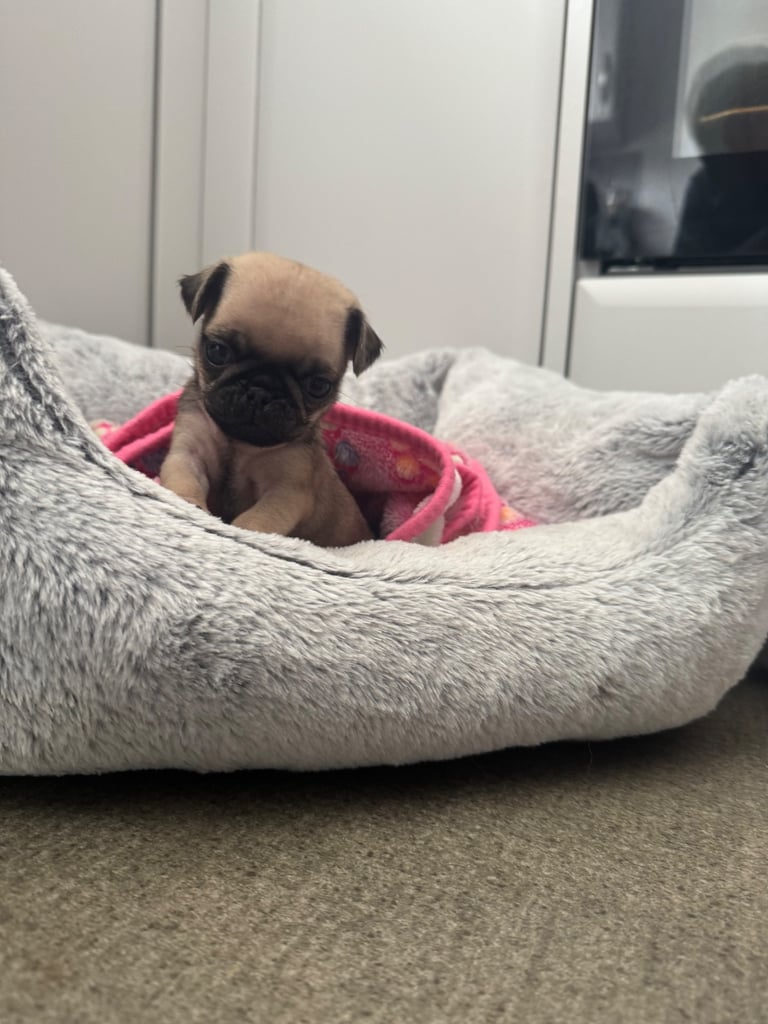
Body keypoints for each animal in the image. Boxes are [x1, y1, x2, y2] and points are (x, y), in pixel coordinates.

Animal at [159, 252, 383, 547]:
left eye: (318, 386)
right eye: (217, 351)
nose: (261, 390)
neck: (239, 444)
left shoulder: (285, 490)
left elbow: (256, 520)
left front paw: (242, 533)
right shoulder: (188, 454)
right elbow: (184, 482)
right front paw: (191, 508)